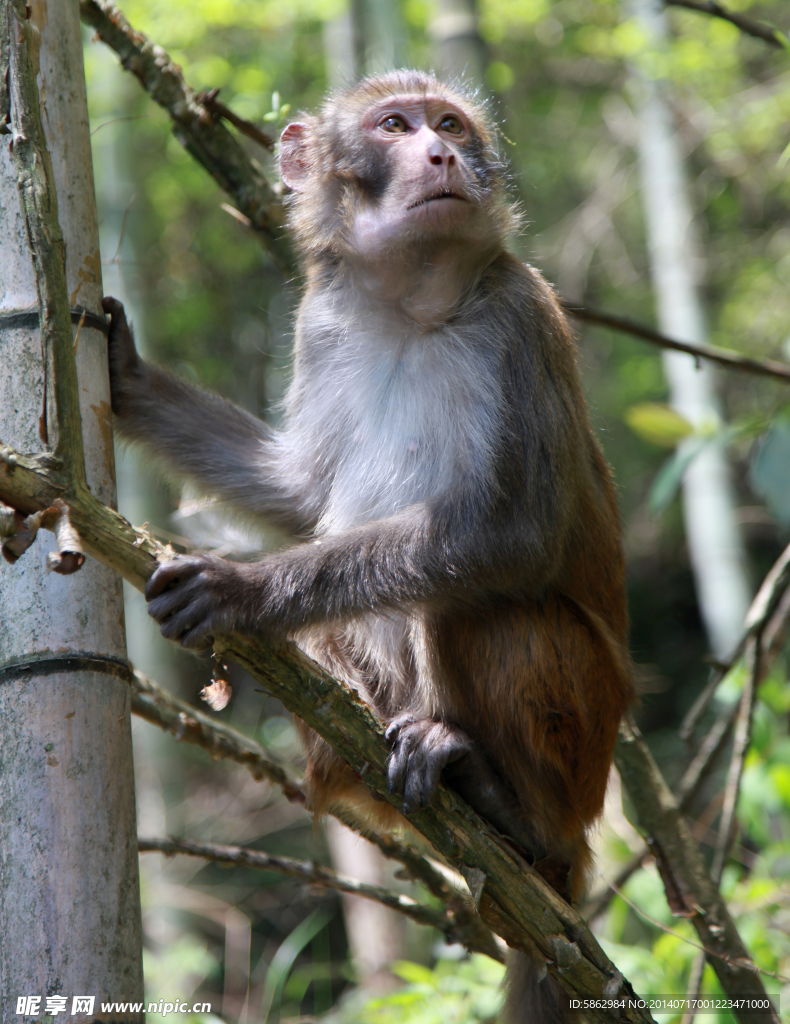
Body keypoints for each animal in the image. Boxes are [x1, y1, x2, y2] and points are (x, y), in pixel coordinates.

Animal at [103, 68, 635, 1019]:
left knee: (481, 607)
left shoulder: (521, 316)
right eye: (395, 126)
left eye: (449, 126)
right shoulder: (323, 322)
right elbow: (301, 492)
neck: (413, 308)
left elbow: (519, 537)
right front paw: (126, 378)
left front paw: (242, 590)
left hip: (587, 742)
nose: (443, 156)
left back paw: (510, 805)